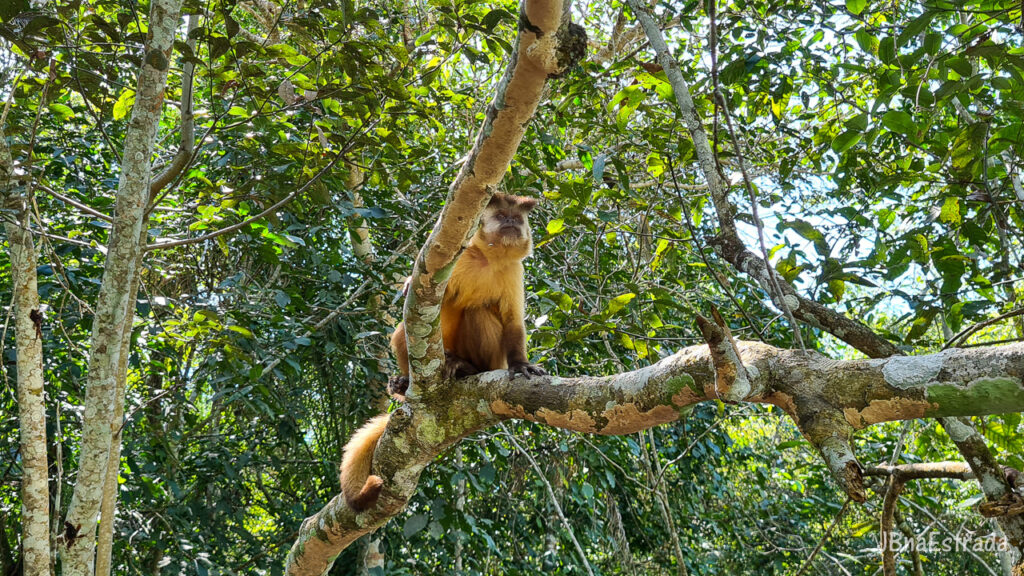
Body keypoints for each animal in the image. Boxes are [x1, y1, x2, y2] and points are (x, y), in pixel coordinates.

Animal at [340, 192, 547, 512]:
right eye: (502, 217)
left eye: (517, 219)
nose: (512, 224)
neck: (491, 259)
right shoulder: (462, 259)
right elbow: (426, 292)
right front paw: (410, 284)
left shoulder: (515, 272)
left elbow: (513, 323)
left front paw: (521, 365)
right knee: (407, 328)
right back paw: (409, 383)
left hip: (492, 360)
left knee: (478, 312)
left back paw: (469, 368)